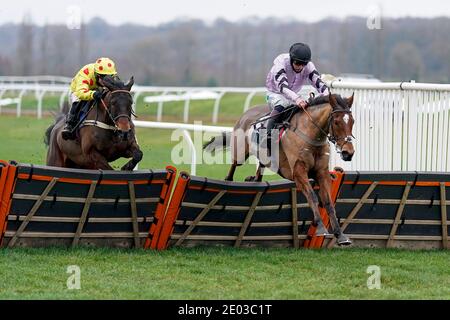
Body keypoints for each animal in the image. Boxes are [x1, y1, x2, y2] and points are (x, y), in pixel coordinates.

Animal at [204, 92, 356, 245]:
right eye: (336, 122)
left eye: (352, 121)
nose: (348, 152)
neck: (310, 136)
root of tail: (246, 113)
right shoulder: (298, 172)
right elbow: (312, 196)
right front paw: (320, 227)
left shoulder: (322, 173)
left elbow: (328, 202)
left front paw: (340, 235)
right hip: (240, 152)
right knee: (233, 167)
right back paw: (228, 180)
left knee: (259, 173)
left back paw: (253, 178)